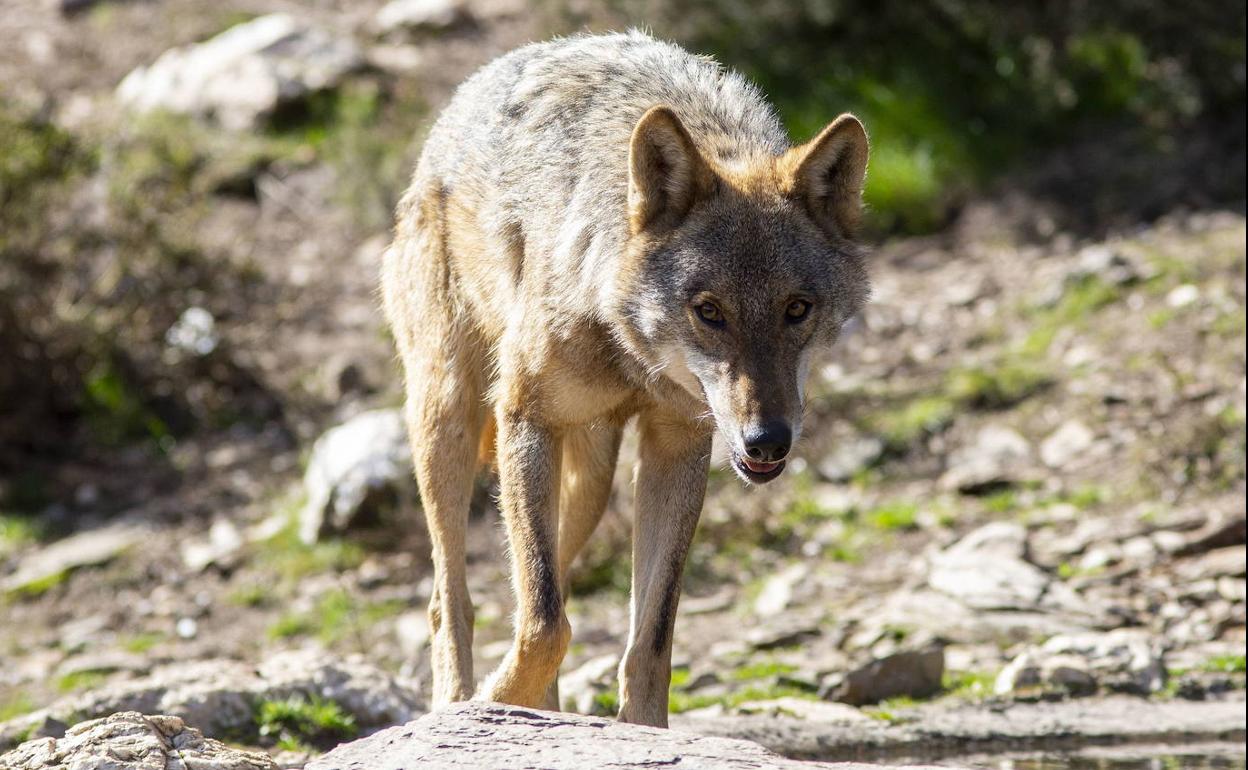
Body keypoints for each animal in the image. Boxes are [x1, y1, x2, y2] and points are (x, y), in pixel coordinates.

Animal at [381, 31, 870, 727]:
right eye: (709, 311)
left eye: (796, 309)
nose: (767, 441)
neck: (633, 353)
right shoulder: (525, 416)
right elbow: (546, 625)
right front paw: (487, 705)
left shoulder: (677, 443)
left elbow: (650, 638)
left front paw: (641, 730)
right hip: (450, 421)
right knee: (452, 598)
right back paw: (454, 703)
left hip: (589, 482)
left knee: (543, 578)